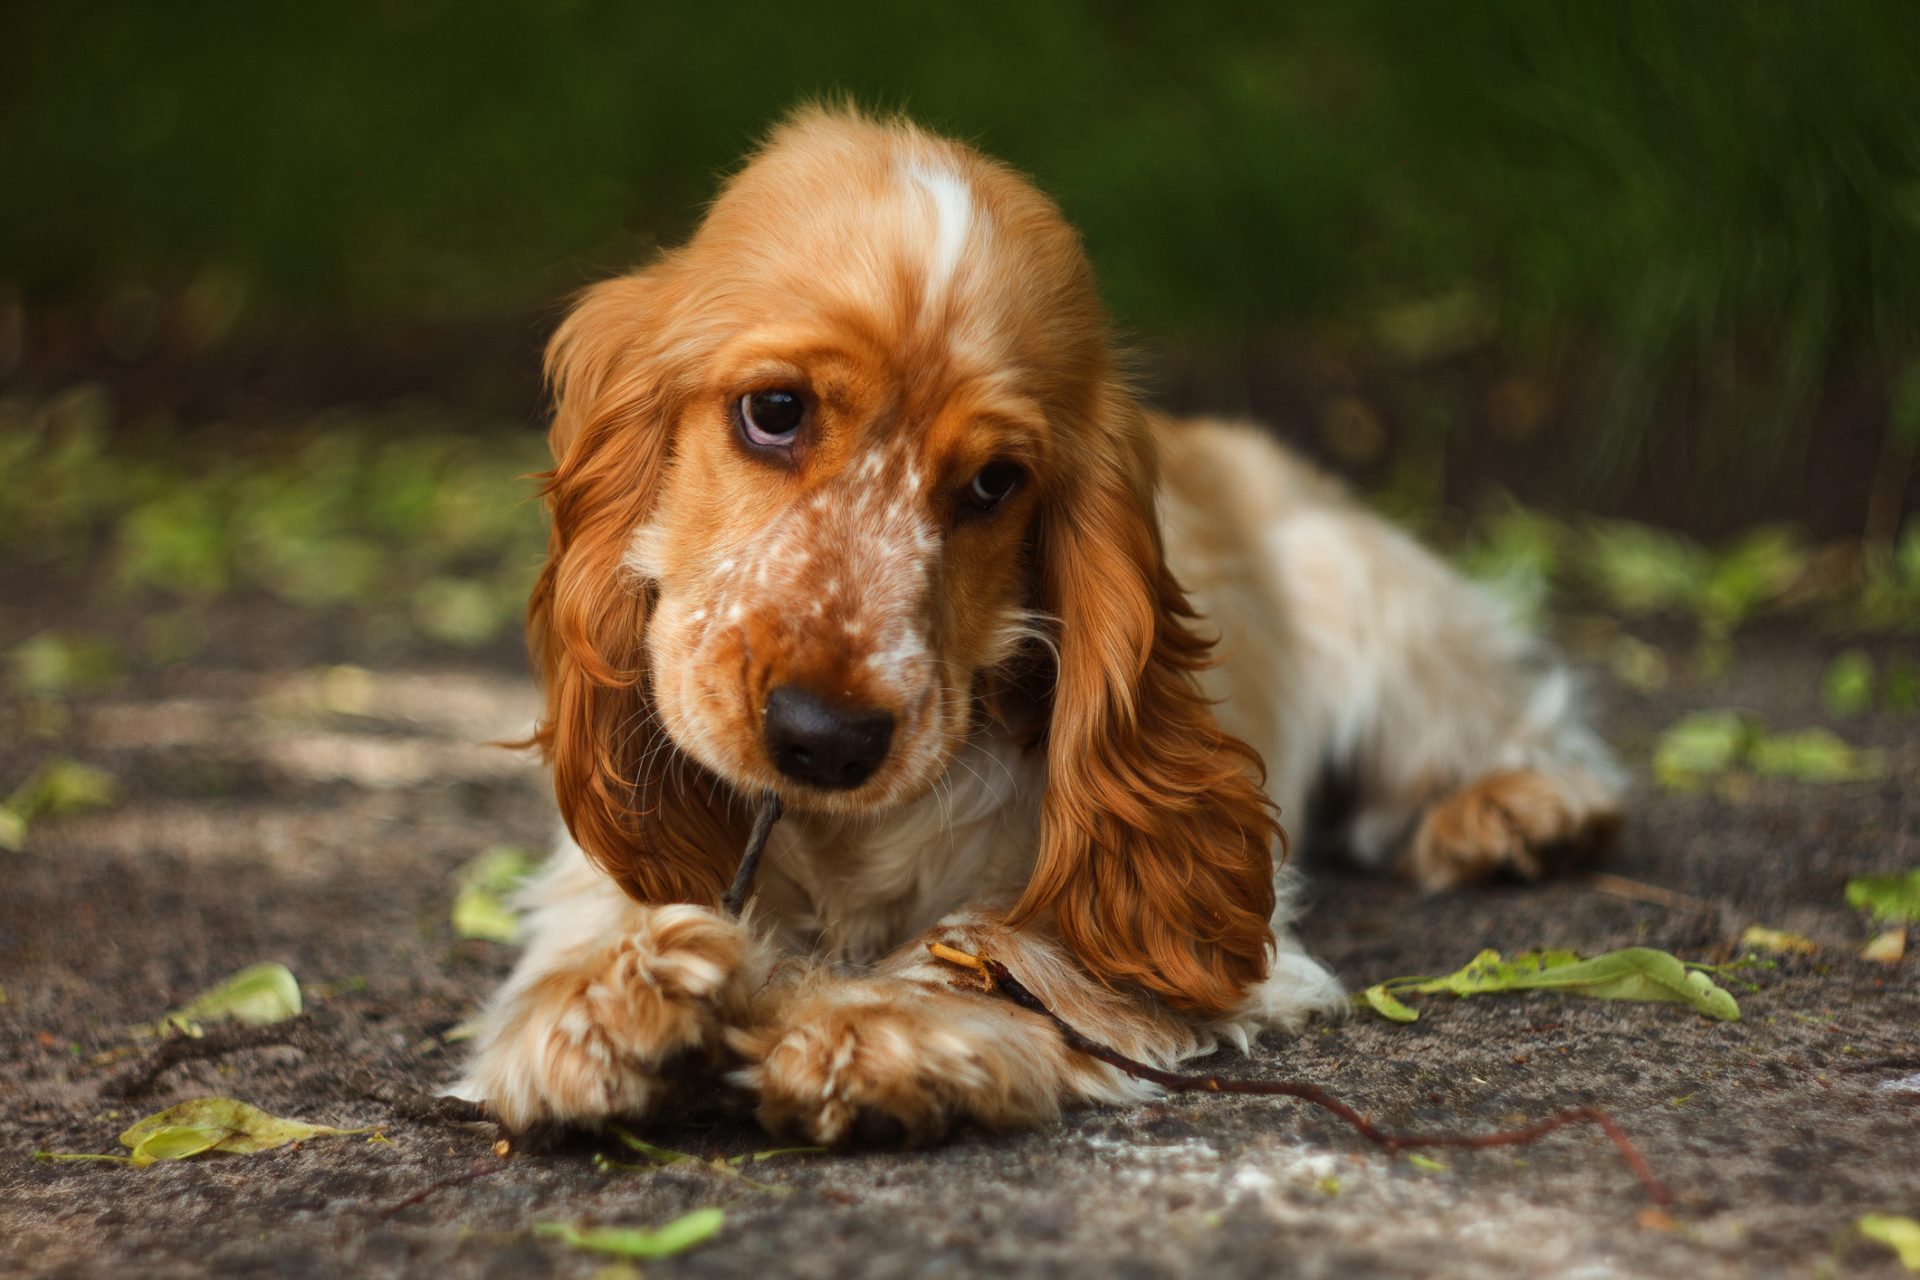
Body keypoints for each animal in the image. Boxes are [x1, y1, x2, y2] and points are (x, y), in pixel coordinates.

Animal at [453, 110, 1620, 1143]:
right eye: (773, 411)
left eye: (993, 483)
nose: (826, 739)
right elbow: (607, 913)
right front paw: (608, 1003)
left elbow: (999, 945)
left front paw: (870, 1032)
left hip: (1375, 603)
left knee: (1503, 721)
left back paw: (1518, 810)